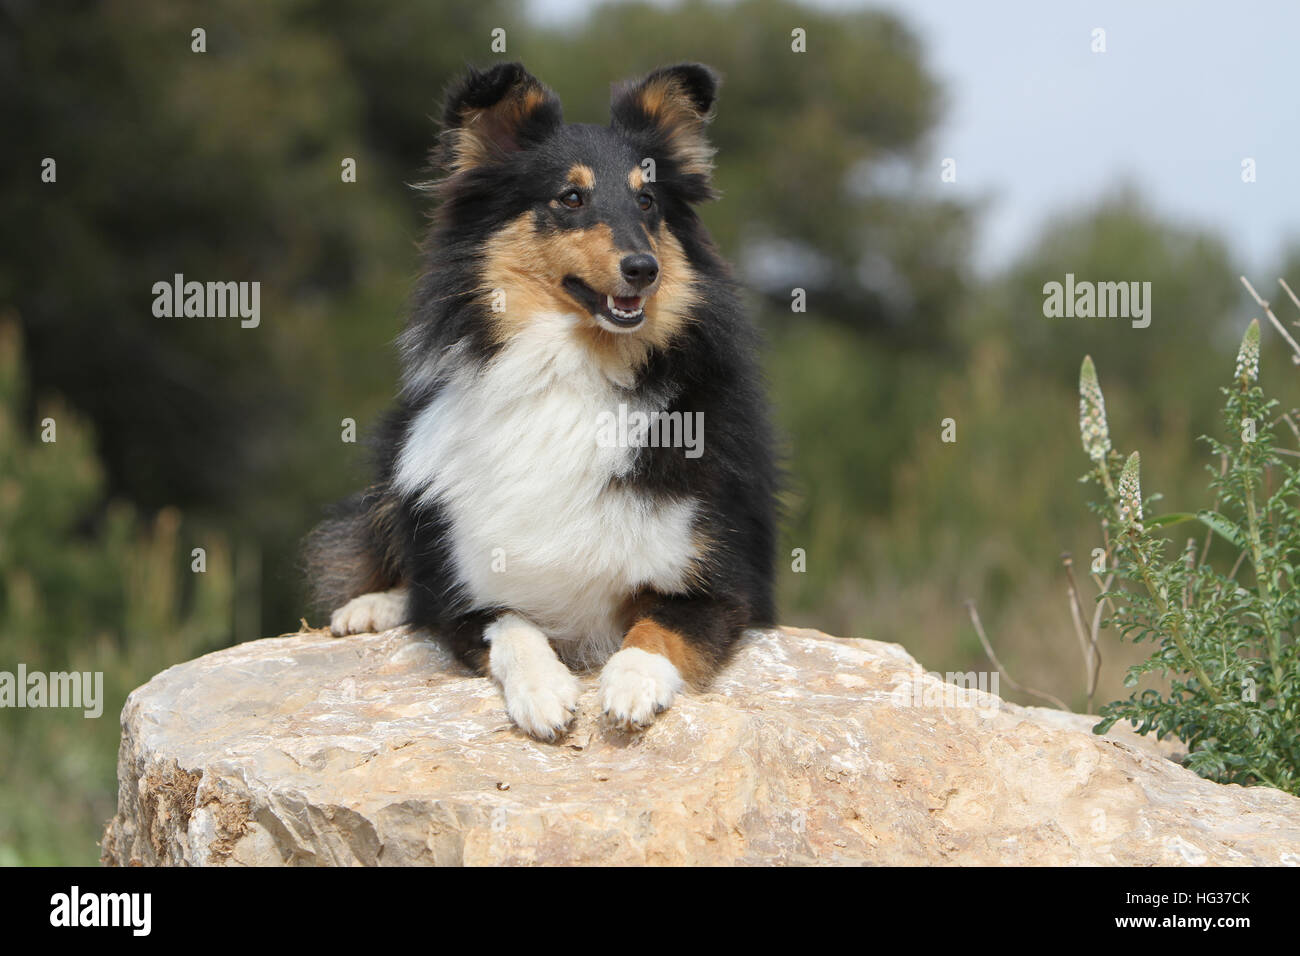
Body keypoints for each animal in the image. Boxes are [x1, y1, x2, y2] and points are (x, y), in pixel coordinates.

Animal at [304, 63, 769, 743]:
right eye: (570, 198)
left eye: (648, 202)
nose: (644, 269)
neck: (571, 367)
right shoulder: (466, 591)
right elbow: (507, 623)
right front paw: (544, 693)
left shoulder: (721, 584)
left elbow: (659, 626)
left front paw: (630, 682)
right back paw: (370, 606)